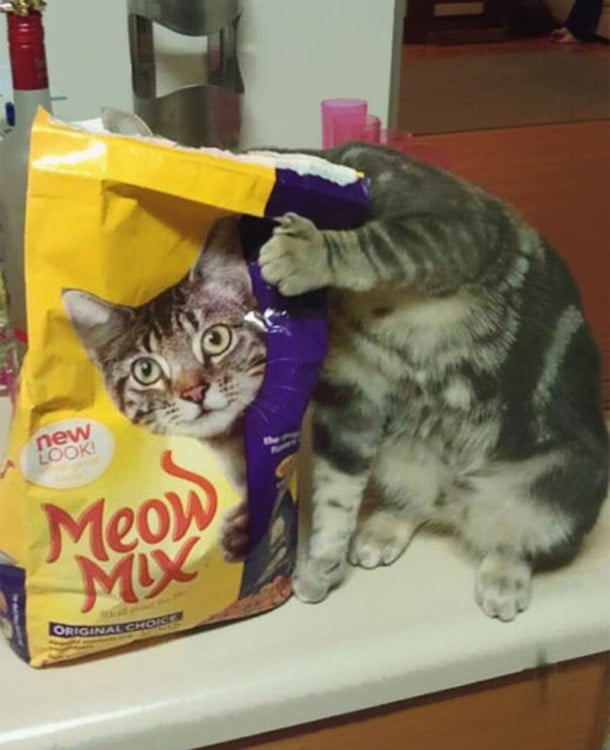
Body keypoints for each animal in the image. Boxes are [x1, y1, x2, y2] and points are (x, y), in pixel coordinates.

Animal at [258, 141, 608, 624]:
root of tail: (460, 504)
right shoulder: (352, 393)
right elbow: (335, 489)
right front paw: (324, 559)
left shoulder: (450, 225)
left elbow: (375, 246)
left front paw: (306, 253)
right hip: (401, 453)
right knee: (422, 503)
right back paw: (383, 530)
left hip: (563, 479)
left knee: (515, 538)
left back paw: (503, 577)